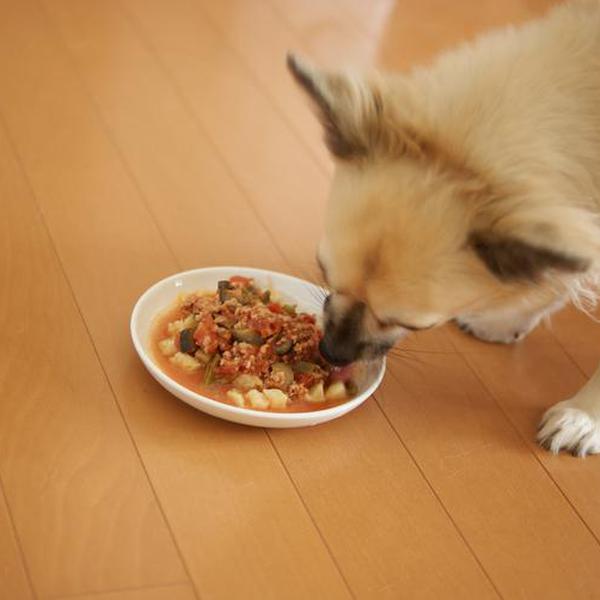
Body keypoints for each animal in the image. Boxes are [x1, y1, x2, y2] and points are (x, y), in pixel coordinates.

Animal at [286, 2, 600, 458]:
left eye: (415, 325)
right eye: (323, 271)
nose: (331, 351)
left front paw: (585, 416)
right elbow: (563, 267)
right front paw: (513, 313)